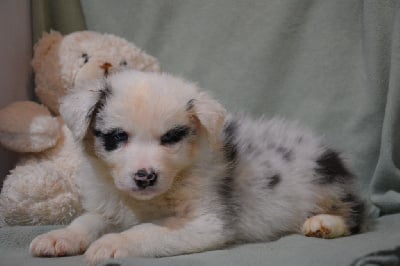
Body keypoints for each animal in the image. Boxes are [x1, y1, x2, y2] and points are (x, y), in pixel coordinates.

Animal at [29, 69, 364, 264]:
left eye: (170, 137)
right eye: (118, 137)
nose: (145, 177)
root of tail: (334, 157)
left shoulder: (205, 222)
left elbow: (148, 231)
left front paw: (112, 243)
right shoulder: (109, 205)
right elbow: (86, 220)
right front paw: (60, 237)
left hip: (327, 187)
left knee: (356, 215)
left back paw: (324, 223)